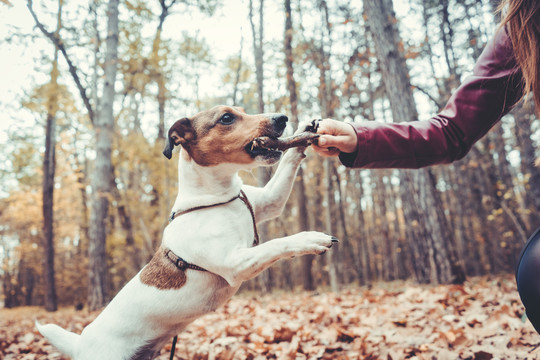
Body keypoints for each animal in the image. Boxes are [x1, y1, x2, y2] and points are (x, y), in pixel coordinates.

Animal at [35, 106, 336, 360]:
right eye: (227, 118)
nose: (282, 117)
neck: (219, 197)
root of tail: (80, 342)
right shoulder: (234, 263)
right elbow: (277, 244)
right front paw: (309, 238)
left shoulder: (269, 202)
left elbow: (285, 170)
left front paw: (306, 129)